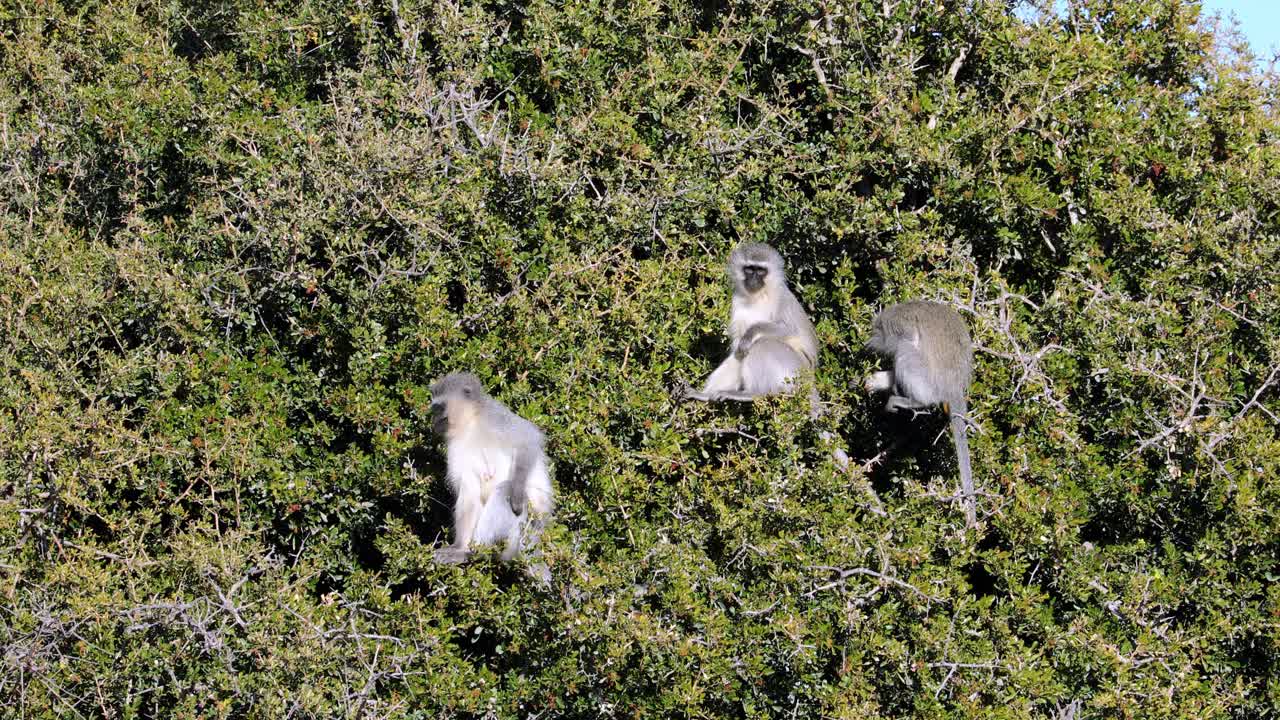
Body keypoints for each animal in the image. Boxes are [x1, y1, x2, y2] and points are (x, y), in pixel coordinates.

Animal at [428, 372, 554, 565]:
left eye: (439, 408)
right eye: (434, 410)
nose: (433, 421)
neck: (472, 422)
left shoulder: (497, 418)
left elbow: (528, 439)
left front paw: (517, 494)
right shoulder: (455, 446)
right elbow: (468, 489)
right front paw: (459, 547)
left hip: (530, 525)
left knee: (506, 490)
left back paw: (479, 550)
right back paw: (464, 550)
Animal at [863, 300, 975, 525]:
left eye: (877, 332)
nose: (871, 341)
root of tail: (954, 385)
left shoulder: (898, 327)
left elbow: (908, 338)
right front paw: (876, 382)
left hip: (924, 370)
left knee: (907, 349)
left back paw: (912, 401)